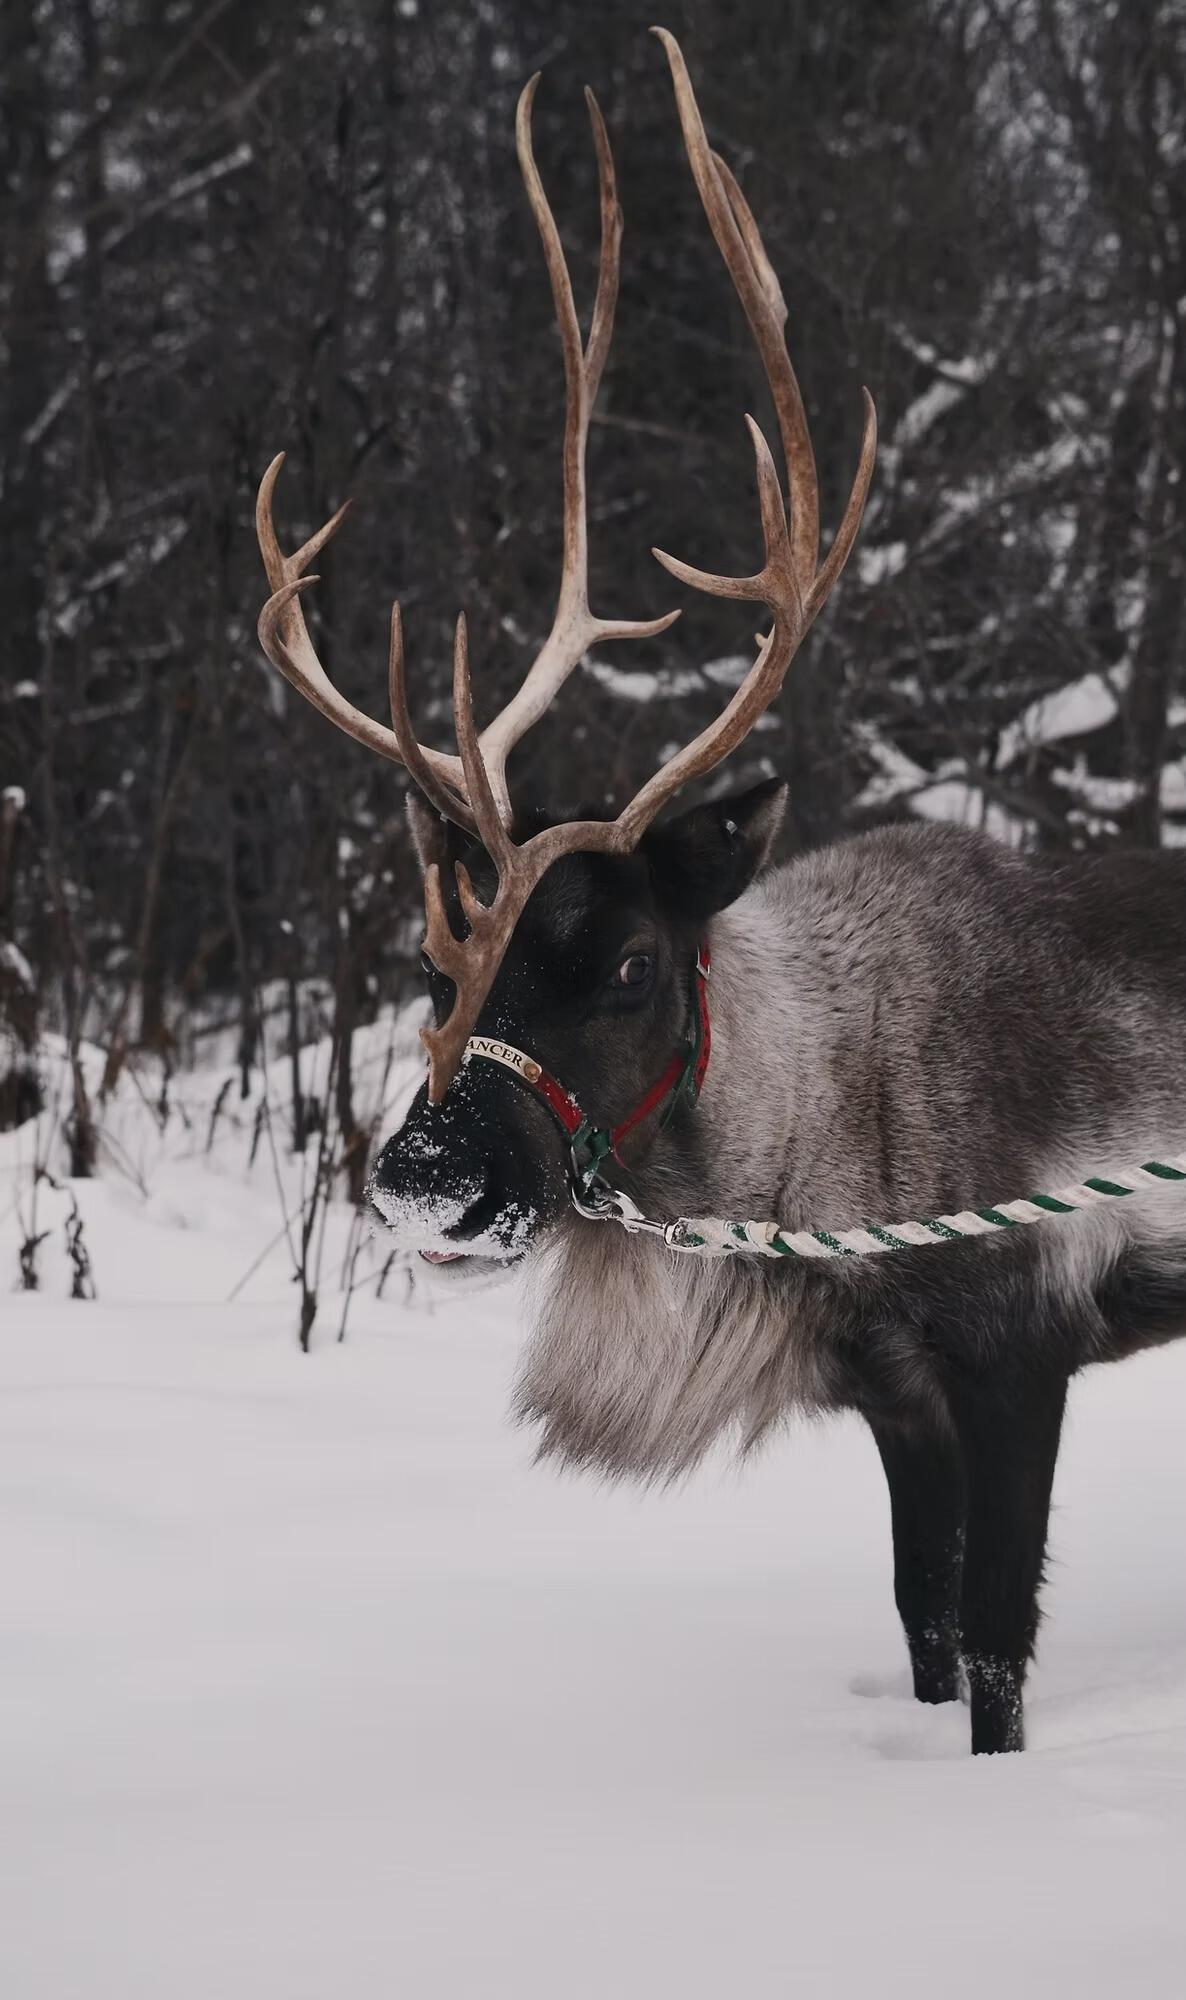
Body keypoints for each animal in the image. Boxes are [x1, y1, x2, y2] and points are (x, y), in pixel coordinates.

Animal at [255, 28, 1186, 1756]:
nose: (419, 1177)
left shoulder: (1019, 1351)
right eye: (433, 970)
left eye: (629, 961)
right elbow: (922, 1621)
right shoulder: (893, 1395)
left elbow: (997, 1650)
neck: (826, 1138)